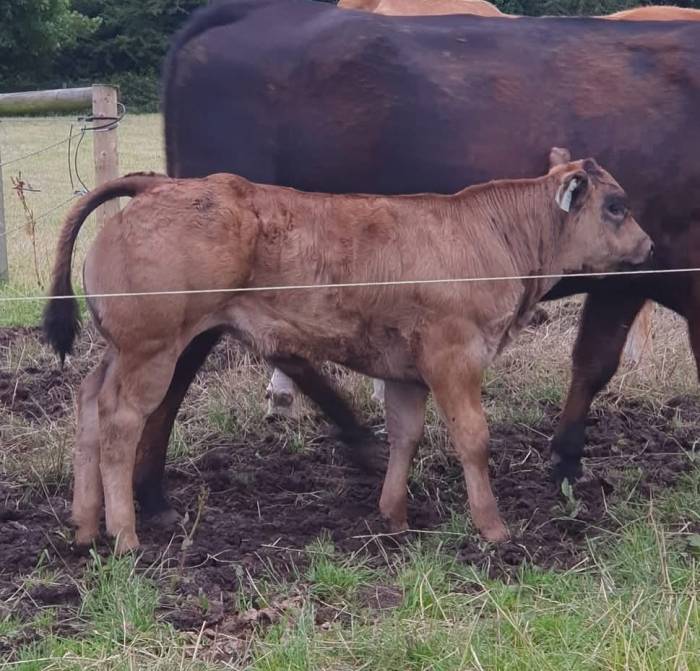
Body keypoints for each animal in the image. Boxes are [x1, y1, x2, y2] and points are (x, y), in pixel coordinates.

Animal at [43, 149, 652, 553]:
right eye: (616, 206)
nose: (648, 245)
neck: (493, 233)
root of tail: (155, 187)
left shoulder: (406, 372)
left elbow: (405, 435)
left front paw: (395, 516)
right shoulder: (454, 358)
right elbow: (473, 439)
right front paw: (494, 529)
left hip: (122, 350)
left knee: (89, 401)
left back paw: (85, 526)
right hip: (153, 350)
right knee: (121, 420)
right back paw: (124, 535)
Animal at [142, 0, 700, 527]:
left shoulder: (631, 275)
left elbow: (592, 362)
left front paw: (565, 462)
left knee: (273, 348)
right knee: (185, 360)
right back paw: (152, 492)